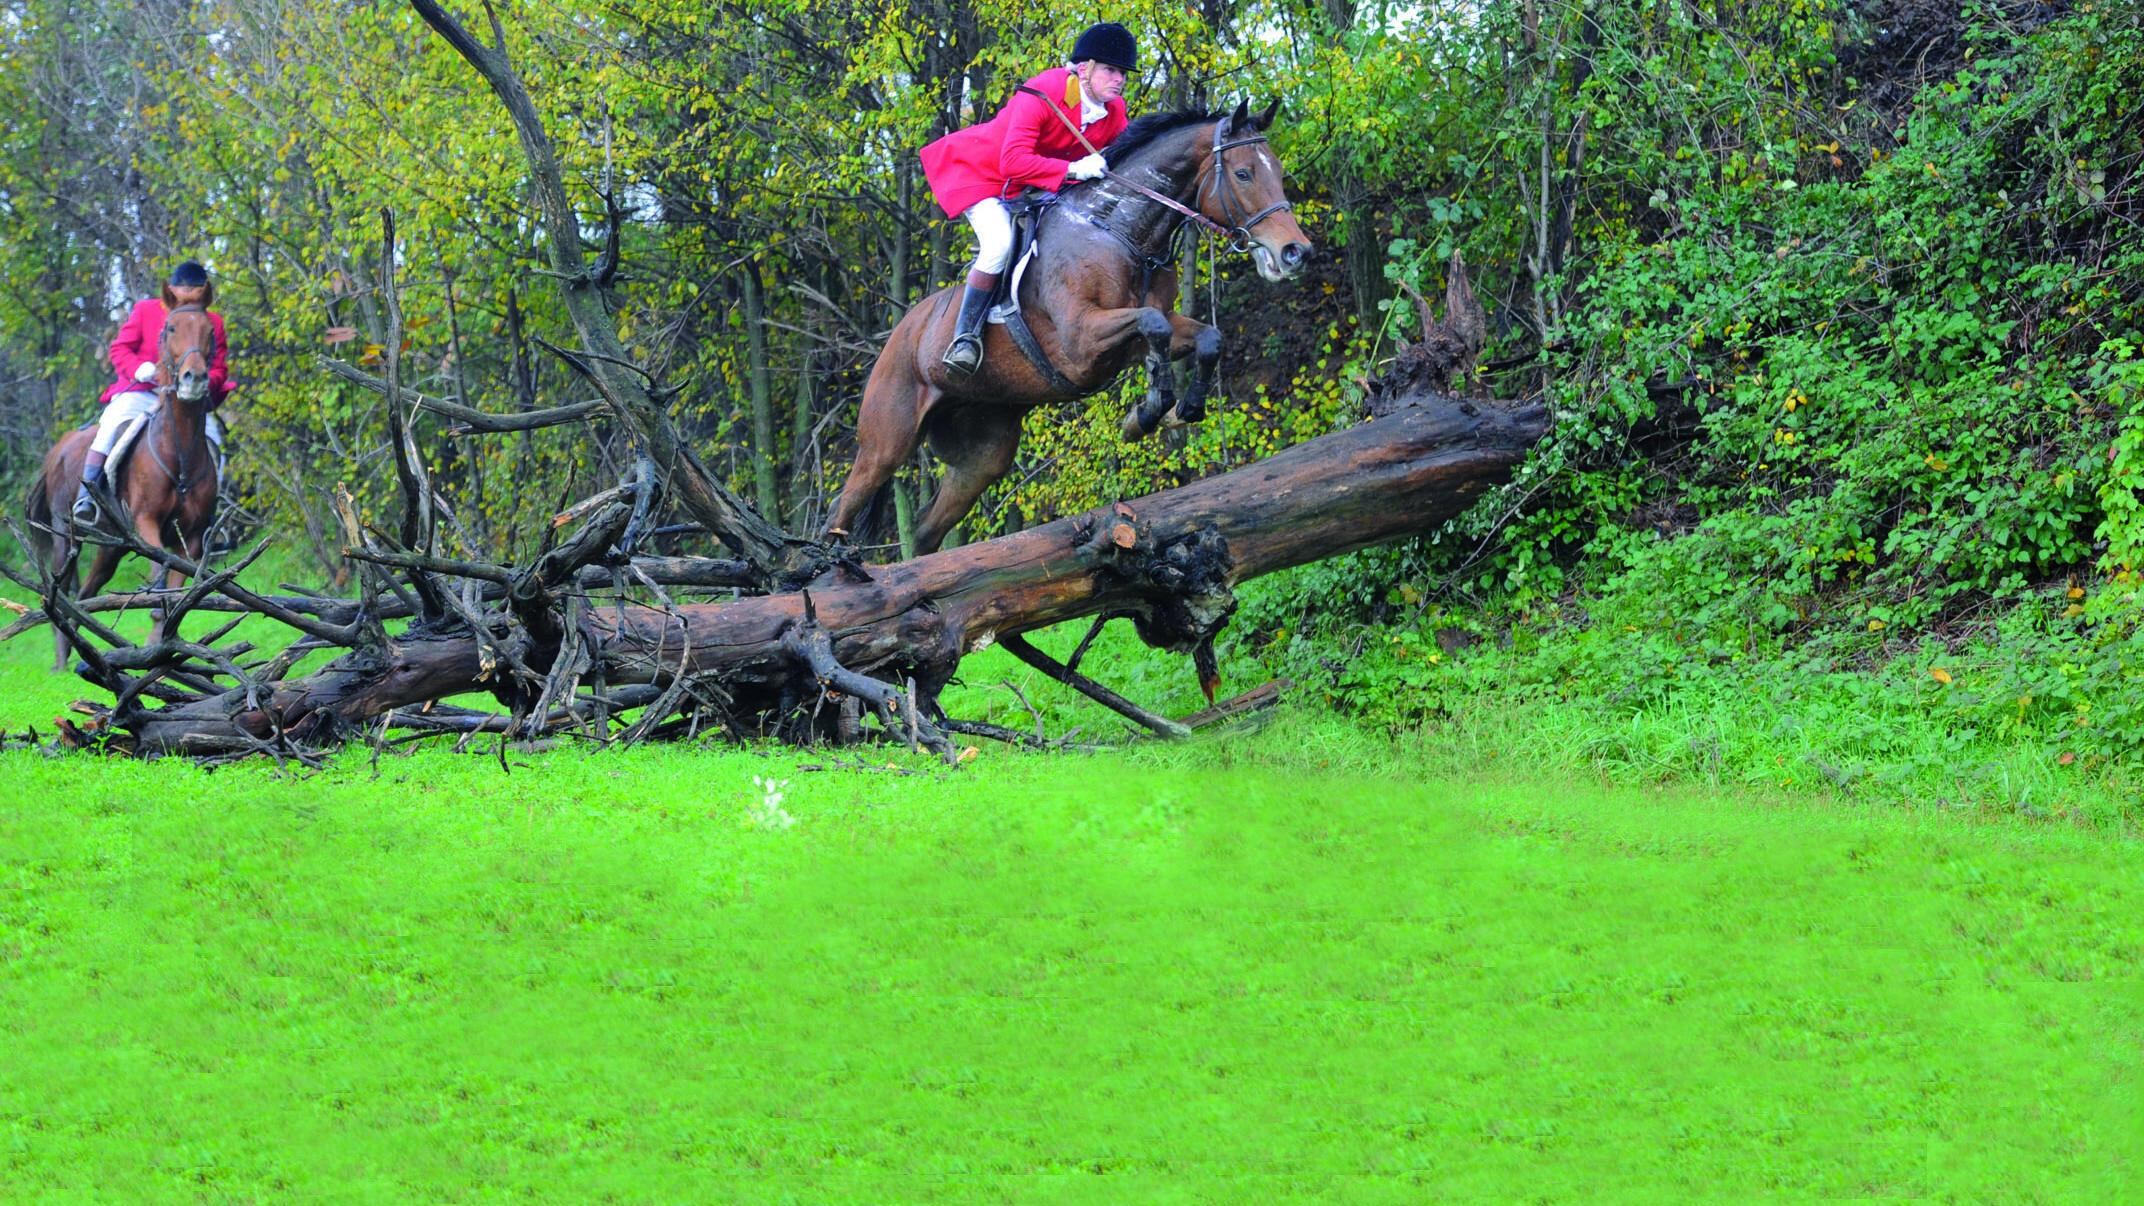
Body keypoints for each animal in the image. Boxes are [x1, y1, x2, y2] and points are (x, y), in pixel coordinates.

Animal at [24, 303, 221, 670]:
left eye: (210, 331)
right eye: (170, 329)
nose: (194, 378)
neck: (179, 456)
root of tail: (59, 449)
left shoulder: (192, 538)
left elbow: (178, 590)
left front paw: (163, 643)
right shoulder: (147, 525)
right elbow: (160, 577)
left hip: (111, 548)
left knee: (86, 594)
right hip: (65, 536)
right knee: (63, 591)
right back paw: (61, 659)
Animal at [826, 98, 1312, 556]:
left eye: (1277, 171)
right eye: (1245, 174)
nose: (1295, 252)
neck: (1119, 230)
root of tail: (897, 338)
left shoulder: (1136, 337)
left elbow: (1204, 337)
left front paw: (1177, 409)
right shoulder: (1081, 344)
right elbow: (1152, 325)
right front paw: (1148, 411)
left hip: (983, 455)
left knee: (928, 527)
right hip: (886, 442)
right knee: (846, 504)